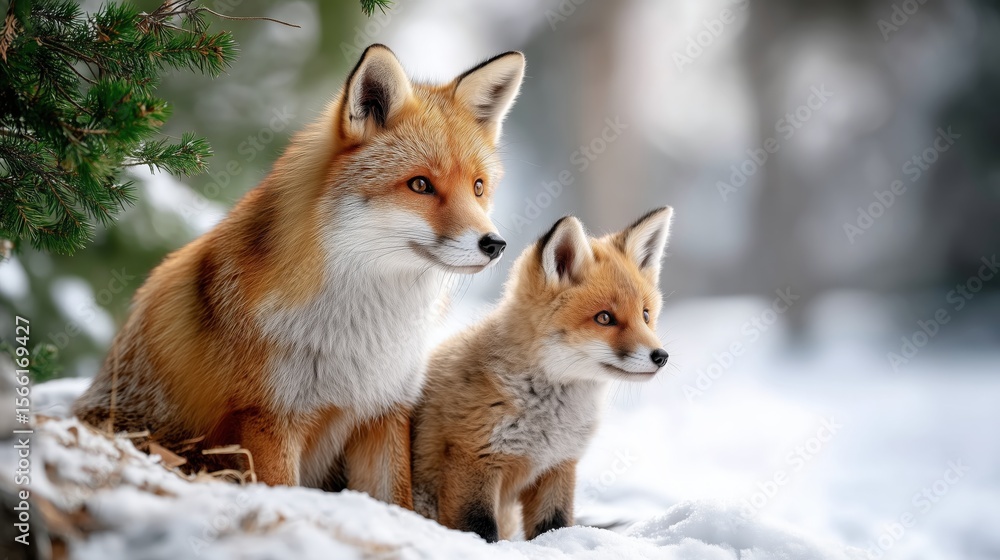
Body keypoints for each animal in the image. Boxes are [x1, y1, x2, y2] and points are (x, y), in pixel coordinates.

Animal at [72, 44, 526, 508]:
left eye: (477, 187)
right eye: (420, 185)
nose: (495, 244)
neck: (364, 333)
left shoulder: (383, 411)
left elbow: (394, 501)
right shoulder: (268, 417)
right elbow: (281, 489)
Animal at [411, 207, 674, 541]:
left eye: (645, 315)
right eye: (604, 318)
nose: (661, 357)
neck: (548, 421)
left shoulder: (557, 466)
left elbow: (554, 528)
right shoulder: (472, 460)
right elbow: (480, 530)